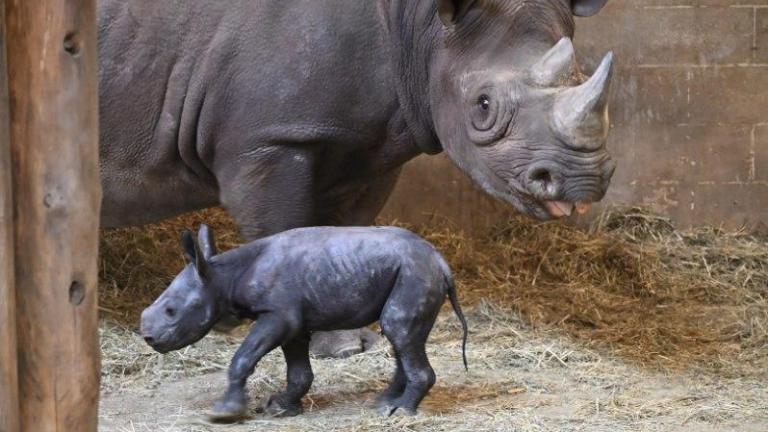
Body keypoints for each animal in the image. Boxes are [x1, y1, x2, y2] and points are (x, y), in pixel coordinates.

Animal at [99, 0, 615, 356]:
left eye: (584, 74)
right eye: (483, 106)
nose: (583, 183)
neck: (421, 27)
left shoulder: (366, 143)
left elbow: (348, 235)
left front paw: (346, 340)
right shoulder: (269, 140)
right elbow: (284, 230)